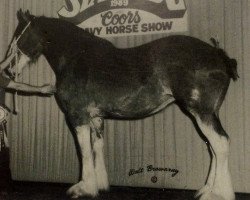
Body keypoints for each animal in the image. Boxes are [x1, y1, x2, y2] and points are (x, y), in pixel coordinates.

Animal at [4, 10, 237, 199]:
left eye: (18, 37)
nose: (8, 70)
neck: (76, 57)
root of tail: (218, 54)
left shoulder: (77, 116)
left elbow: (84, 151)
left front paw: (83, 188)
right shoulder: (96, 117)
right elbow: (97, 147)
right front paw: (99, 185)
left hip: (202, 112)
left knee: (220, 143)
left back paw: (217, 194)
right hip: (208, 114)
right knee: (213, 147)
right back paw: (206, 190)